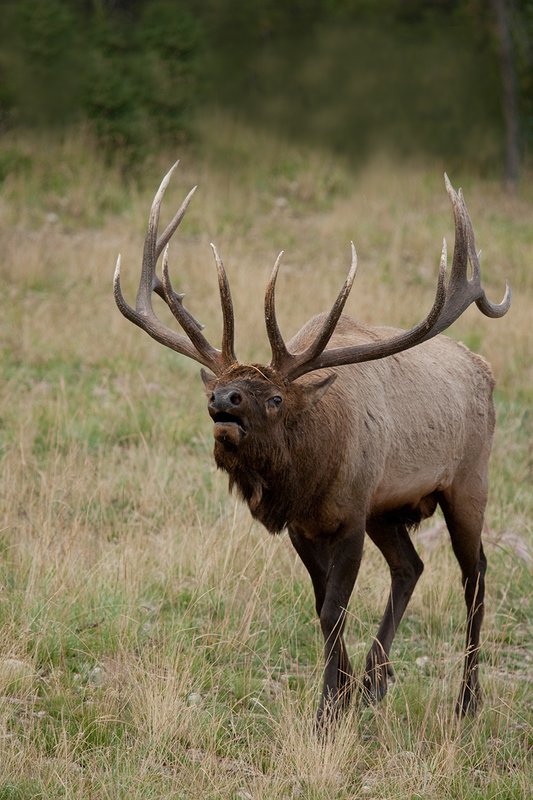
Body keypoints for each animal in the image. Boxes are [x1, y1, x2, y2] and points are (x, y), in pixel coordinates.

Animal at [114, 163, 510, 725]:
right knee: (410, 566)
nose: (222, 398)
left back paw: (467, 700)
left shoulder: (350, 517)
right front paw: (341, 694)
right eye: (224, 385)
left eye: (276, 397)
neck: (311, 475)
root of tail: (485, 370)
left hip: (468, 483)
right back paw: (374, 680)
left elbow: (332, 610)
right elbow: (323, 608)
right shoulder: (307, 525)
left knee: (475, 575)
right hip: (387, 509)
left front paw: (327, 709)